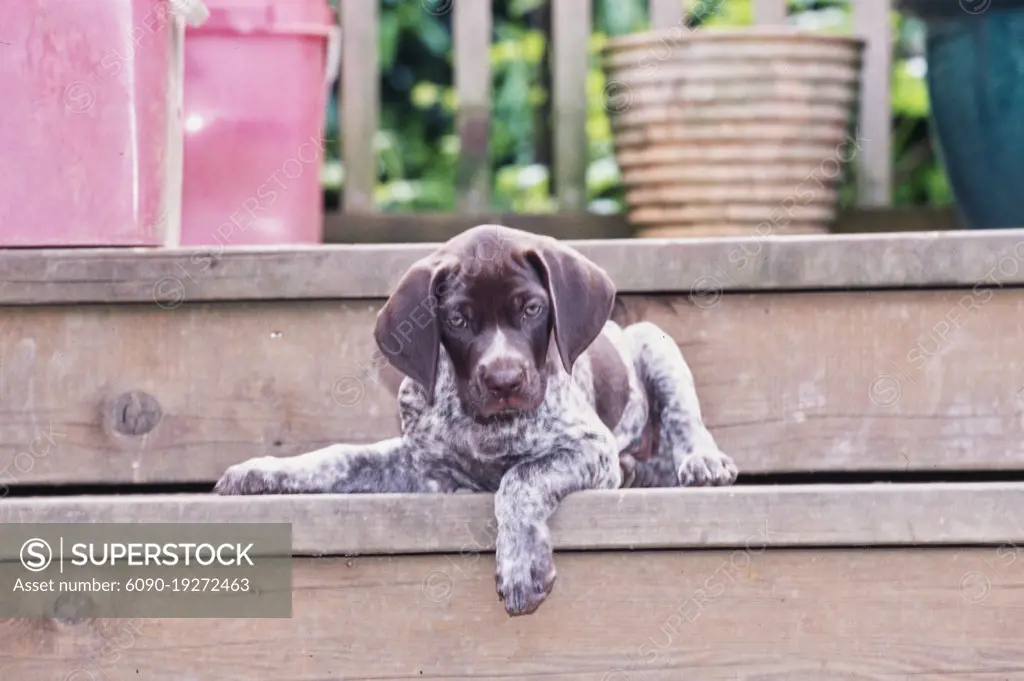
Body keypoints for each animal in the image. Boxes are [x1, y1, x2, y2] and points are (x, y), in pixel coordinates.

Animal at [216, 224, 737, 614]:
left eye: (532, 308)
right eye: (458, 320)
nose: (505, 381)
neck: (484, 427)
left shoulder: (591, 448)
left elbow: (521, 478)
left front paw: (521, 565)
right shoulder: (425, 471)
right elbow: (338, 457)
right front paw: (261, 471)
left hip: (654, 341)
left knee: (684, 419)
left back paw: (702, 462)